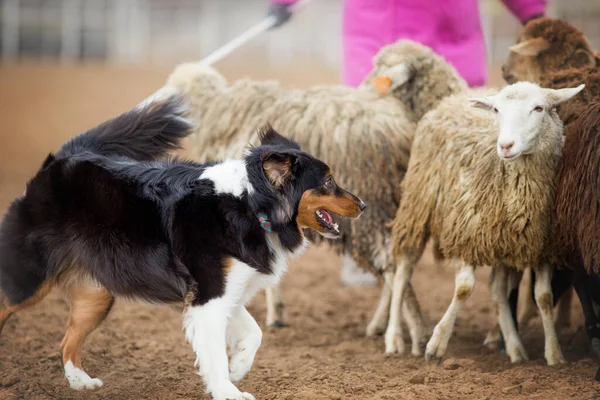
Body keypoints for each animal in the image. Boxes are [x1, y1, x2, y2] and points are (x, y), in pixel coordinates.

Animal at [0, 94, 366, 400]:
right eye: (328, 181)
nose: (363, 205)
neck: (251, 204)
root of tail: (63, 158)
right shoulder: (209, 296)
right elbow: (215, 353)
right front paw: (228, 391)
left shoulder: (224, 290)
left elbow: (254, 333)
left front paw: (238, 368)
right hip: (29, 278)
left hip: (96, 295)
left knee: (67, 341)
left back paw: (79, 381)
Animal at [386, 82, 584, 366]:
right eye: (496, 110)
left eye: (539, 108)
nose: (505, 146)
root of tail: (458, 94)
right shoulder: (467, 231)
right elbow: (464, 289)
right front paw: (436, 345)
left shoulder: (541, 246)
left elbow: (544, 297)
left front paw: (554, 354)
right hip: (417, 205)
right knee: (403, 269)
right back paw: (393, 338)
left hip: (500, 241)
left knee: (499, 291)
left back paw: (515, 348)